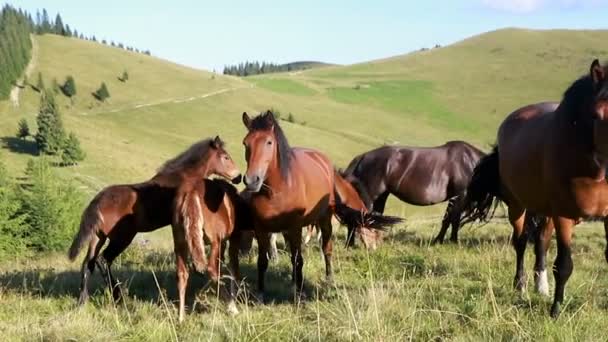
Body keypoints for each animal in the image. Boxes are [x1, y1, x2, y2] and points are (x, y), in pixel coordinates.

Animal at [67, 136, 241, 304]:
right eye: (226, 157)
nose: (238, 177)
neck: (184, 176)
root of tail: (97, 202)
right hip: (122, 238)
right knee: (104, 260)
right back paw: (119, 298)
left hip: (98, 237)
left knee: (88, 264)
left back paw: (82, 302)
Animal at [171, 176, 252, 320]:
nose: (246, 251)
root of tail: (191, 192)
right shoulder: (231, 240)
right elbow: (233, 269)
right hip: (215, 241)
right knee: (211, 270)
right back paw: (231, 307)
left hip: (180, 243)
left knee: (182, 274)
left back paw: (181, 318)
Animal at [203, 109, 400, 300]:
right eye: (246, 143)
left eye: (269, 142)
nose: (252, 180)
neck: (277, 190)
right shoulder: (262, 229)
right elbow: (263, 261)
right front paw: (260, 293)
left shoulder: (296, 227)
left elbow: (298, 259)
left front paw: (299, 293)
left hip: (324, 220)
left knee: (326, 249)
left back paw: (328, 278)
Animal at [342, 140, 484, 243]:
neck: (471, 162)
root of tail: (363, 156)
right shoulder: (460, 195)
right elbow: (454, 220)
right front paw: (453, 241)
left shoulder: (455, 198)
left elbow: (447, 219)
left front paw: (439, 241)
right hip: (371, 196)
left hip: (380, 197)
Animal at [460, 59, 608, 318]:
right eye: (597, 115)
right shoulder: (563, 215)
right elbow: (564, 265)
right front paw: (555, 311)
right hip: (518, 206)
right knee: (521, 242)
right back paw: (520, 285)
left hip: (544, 210)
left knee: (541, 243)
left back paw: (541, 287)